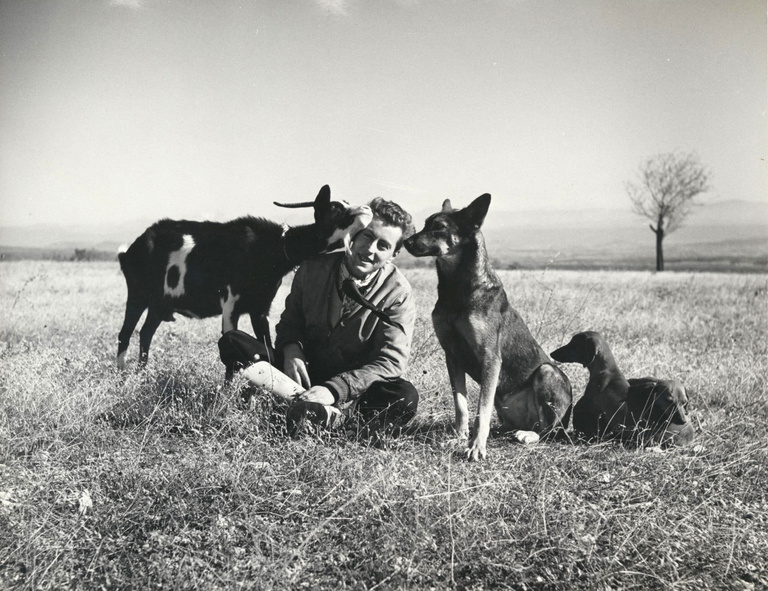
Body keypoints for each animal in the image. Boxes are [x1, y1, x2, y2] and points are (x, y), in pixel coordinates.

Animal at [115, 184, 376, 374]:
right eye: (335, 207)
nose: (367, 209)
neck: (274, 248)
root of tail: (129, 251)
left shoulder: (260, 309)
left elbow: (268, 349)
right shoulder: (231, 305)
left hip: (160, 305)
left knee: (145, 332)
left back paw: (142, 372)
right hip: (138, 295)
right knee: (126, 333)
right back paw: (122, 376)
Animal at [402, 195, 568, 462]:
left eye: (439, 227)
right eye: (426, 223)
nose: (405, 241)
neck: (457, 287)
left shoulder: (490, 357)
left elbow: (482, 409)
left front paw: (476, 446)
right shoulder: (452, 356)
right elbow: (461, 405)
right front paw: (459, 438)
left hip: (547, 373)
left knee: (549, 429)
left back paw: (529, 435)